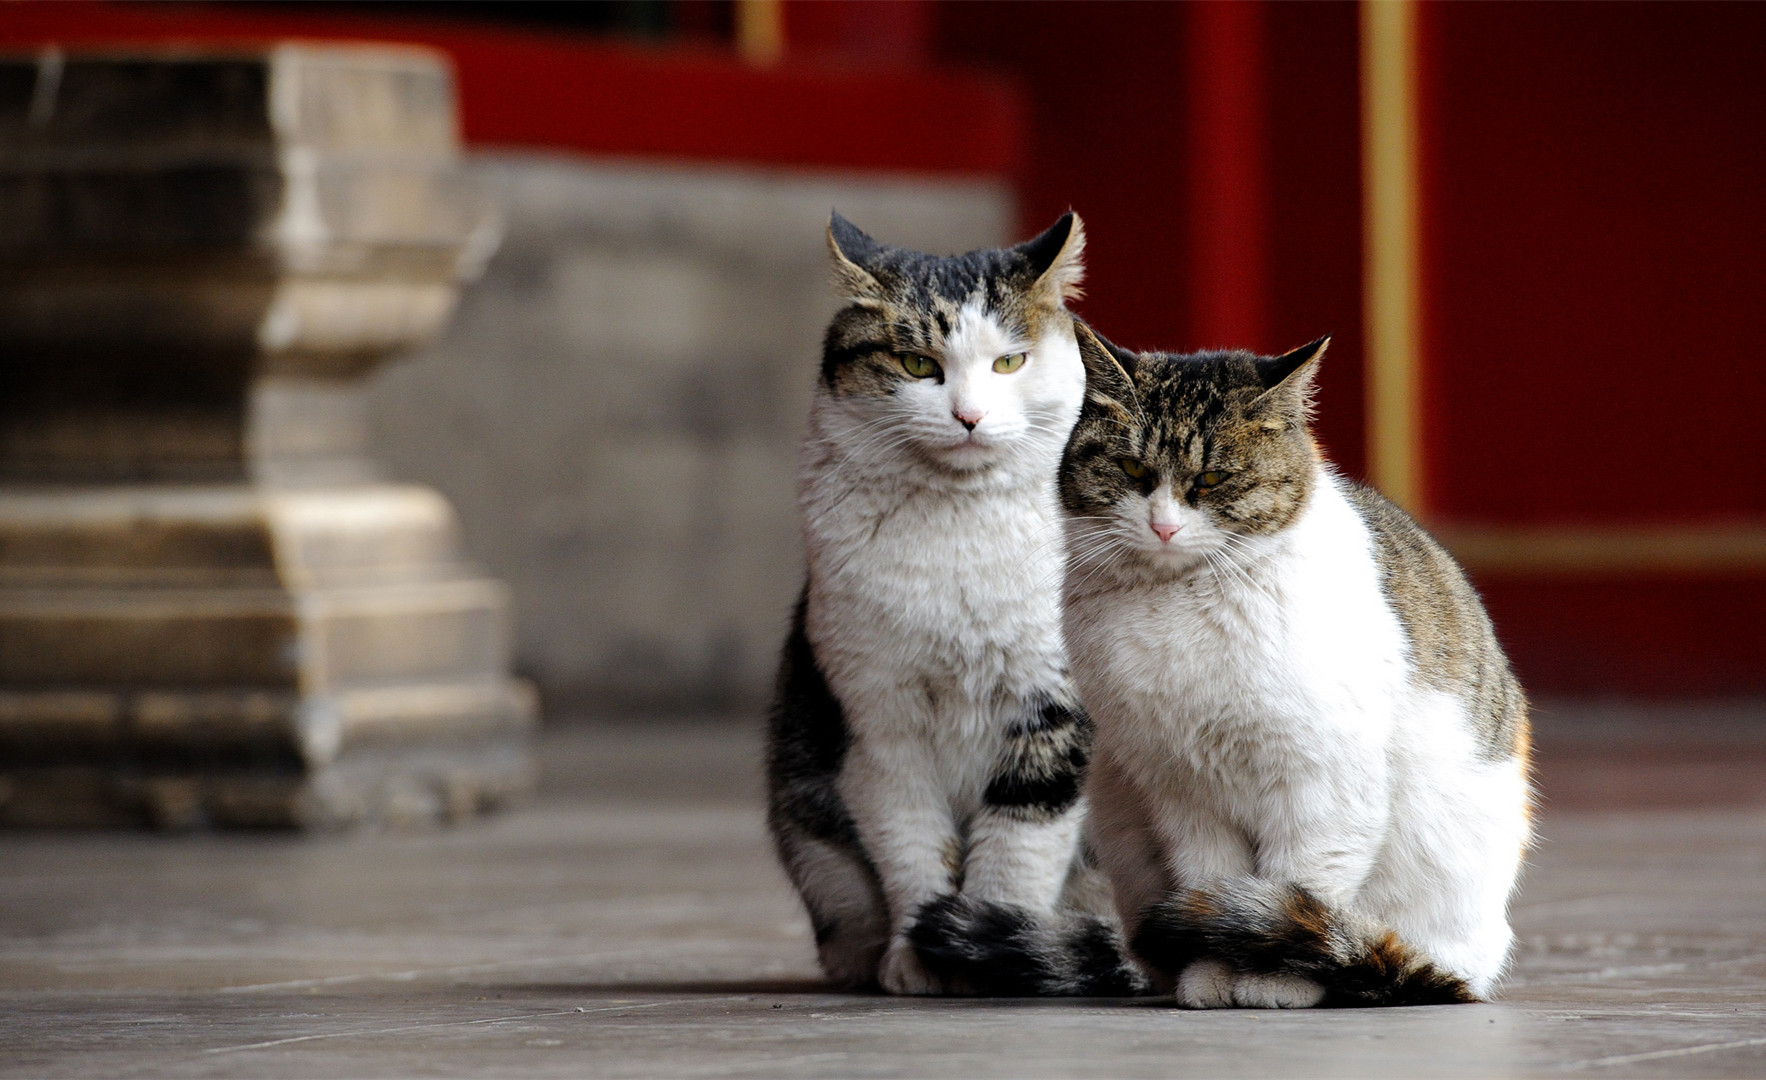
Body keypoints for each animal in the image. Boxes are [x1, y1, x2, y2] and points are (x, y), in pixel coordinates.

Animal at [766, 210, 1137, 995]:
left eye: (1010, 363)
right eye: (915, 366)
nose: (968, 416)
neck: (959, 529)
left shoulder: (1055, 705)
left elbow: (1018, 845)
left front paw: (988, 944)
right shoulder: (878, 718)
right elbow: (911, 843)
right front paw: (917, 955)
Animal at [911, 324, 1532, 1009]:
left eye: (1210, 480)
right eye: (1132, 469)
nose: (1163, 526)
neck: (1180, 601)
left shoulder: (1323, 788)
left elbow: (1299, 891)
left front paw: (1275, 980)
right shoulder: (1183, 792)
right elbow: (1212, 889)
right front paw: (1211, 977)